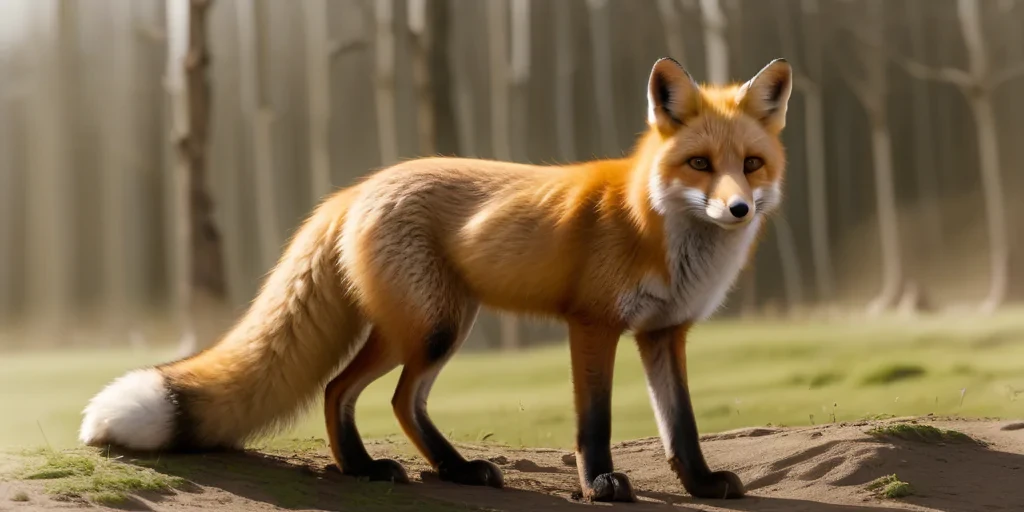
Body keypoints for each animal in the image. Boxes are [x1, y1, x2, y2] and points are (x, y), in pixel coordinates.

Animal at [79, 57, 792, 502]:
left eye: (751, 165)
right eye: (700, 164)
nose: (739, 209)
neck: (657, 227)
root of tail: (356, 188)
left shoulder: (664, 333)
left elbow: (683, 427)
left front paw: (701, 484)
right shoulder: (593, 325)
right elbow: (595, 422)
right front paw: (600, 487)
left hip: (444, 326)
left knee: (400, 401)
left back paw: (453, 470)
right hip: (431, 328)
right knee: (346, 389)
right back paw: (365, 470)